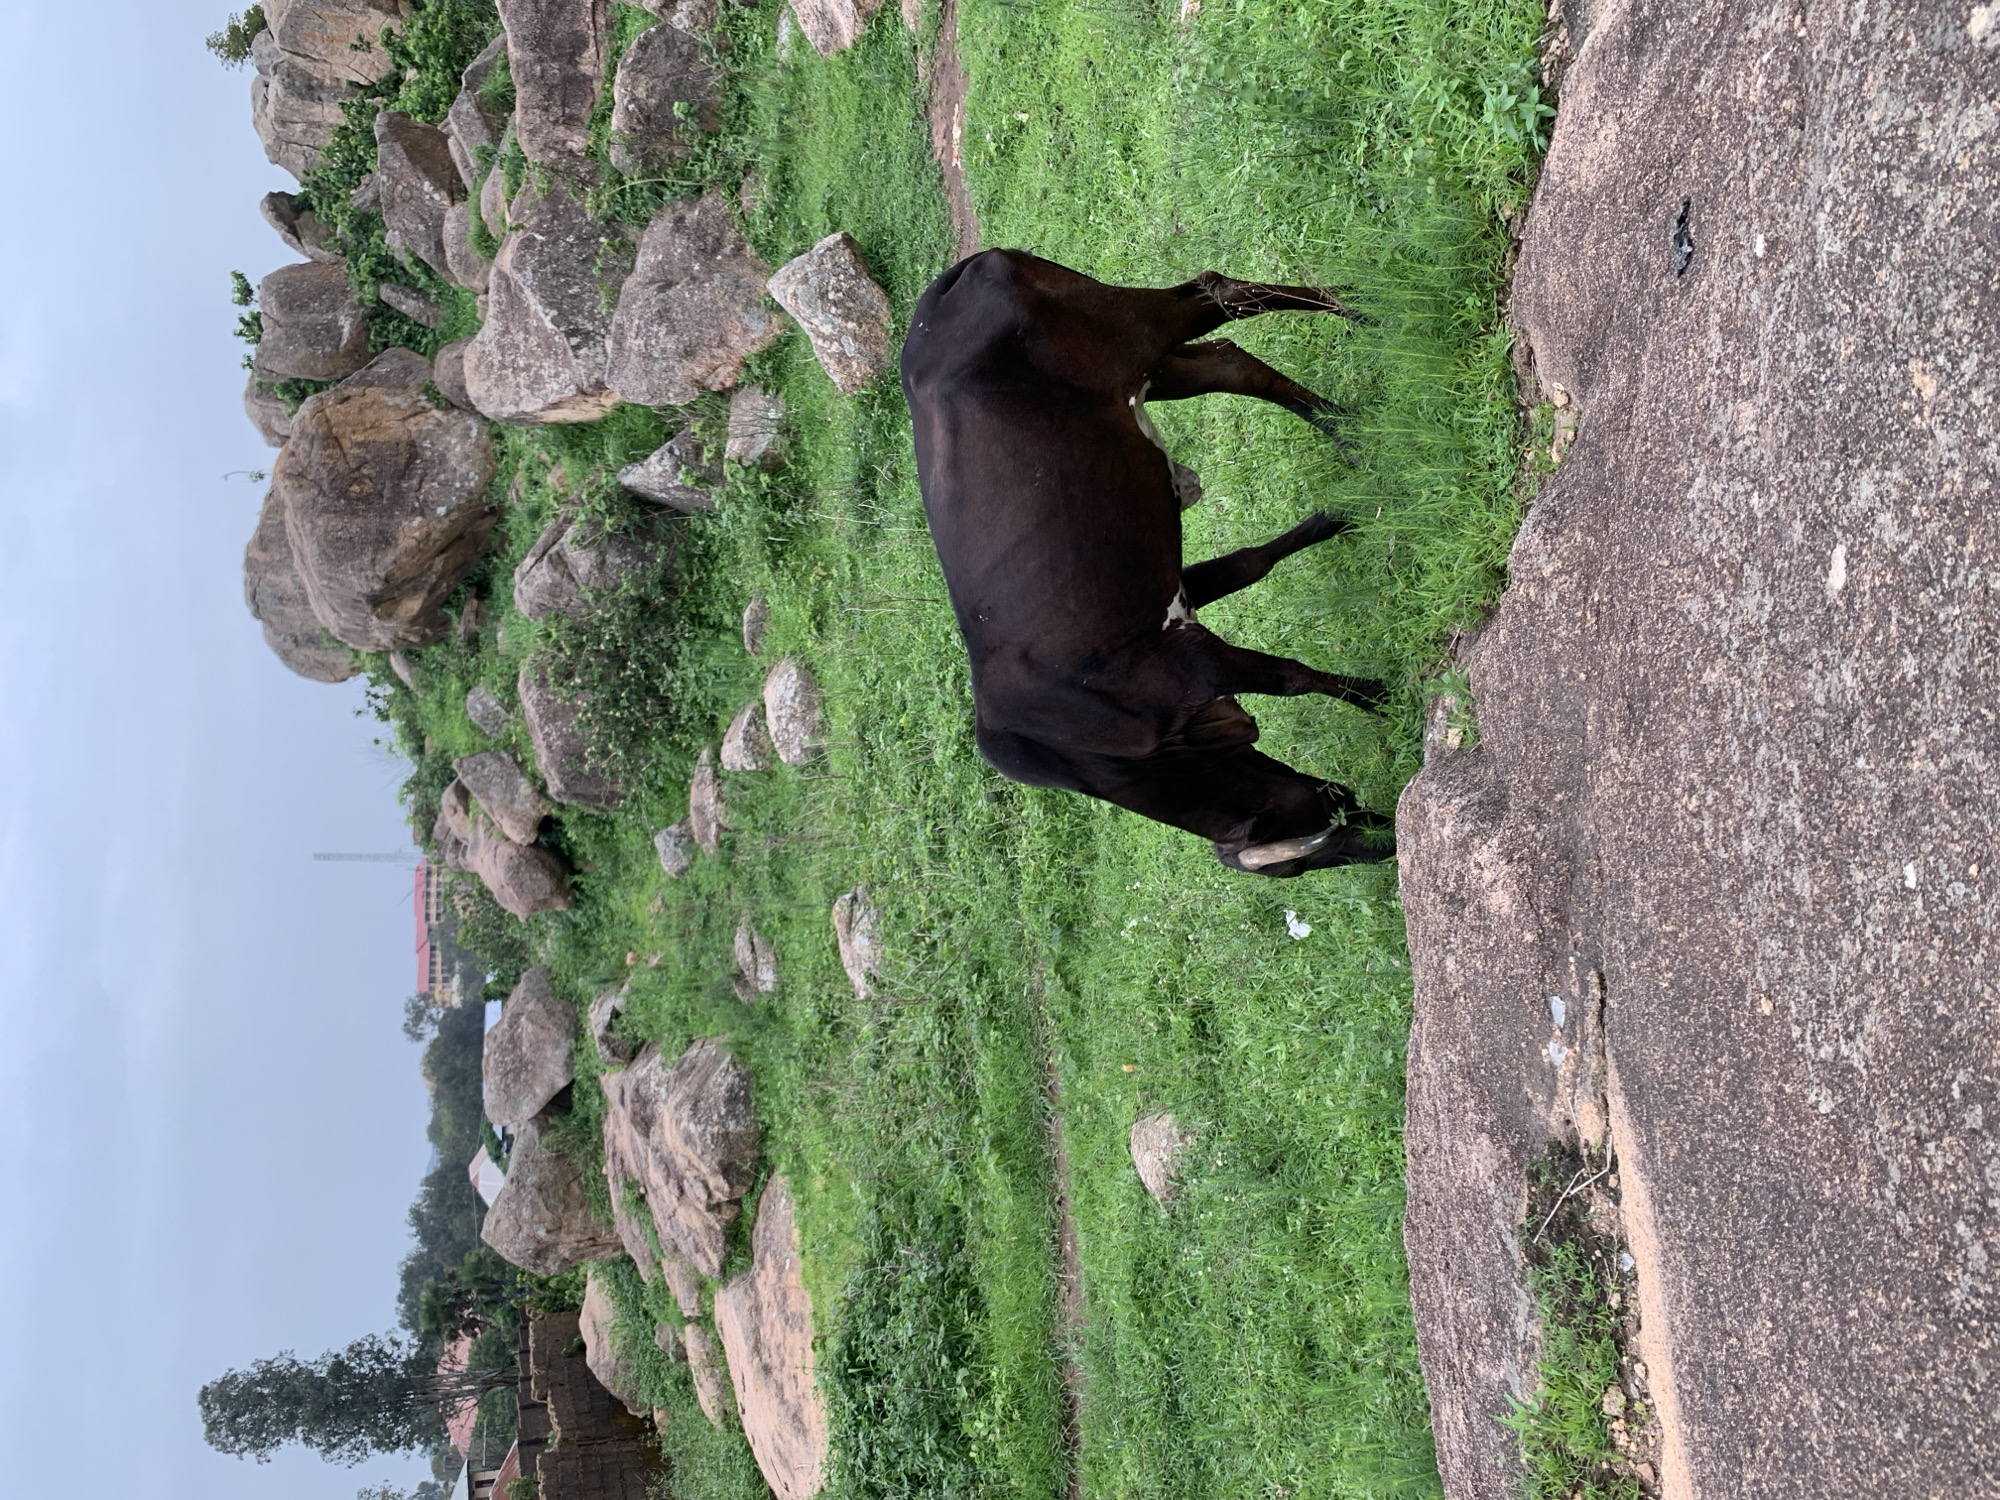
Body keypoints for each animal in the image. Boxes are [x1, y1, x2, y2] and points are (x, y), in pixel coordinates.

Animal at [901, 249, 1395, 878]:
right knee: (1230, 363)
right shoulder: (1179, 606)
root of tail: (945, 288)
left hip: (1128, 330)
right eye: (1320, 857)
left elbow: (1292, 677)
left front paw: (1384, 696)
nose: (1389, 842)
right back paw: (1346, 426)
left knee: (1219, 295)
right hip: (1148, 370)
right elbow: (1251, 565)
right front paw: (1339, 517)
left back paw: (1358, 309)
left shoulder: (1193, 664)